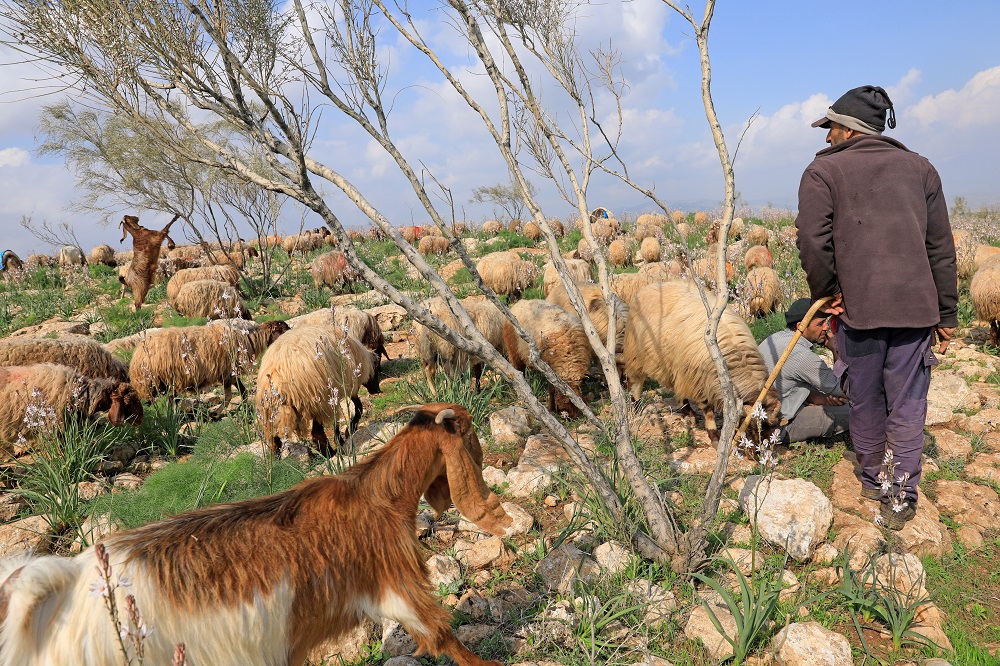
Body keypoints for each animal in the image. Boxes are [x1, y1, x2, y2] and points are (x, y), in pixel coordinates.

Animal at [129, 320, 289, 406]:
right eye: (283, 330)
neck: (247, 339)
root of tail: (137, 356)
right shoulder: (229, 371)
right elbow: (238, 393)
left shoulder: (226, 374)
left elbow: (234, 394)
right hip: (156, 381)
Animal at [256, 325, 381, 455]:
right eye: (377, 366)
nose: (377, 390)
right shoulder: (344, 387)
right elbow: (357, 408)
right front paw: (348, 432)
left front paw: (345, 434)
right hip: (317, 401)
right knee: (316, 433)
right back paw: (329, 452)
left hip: (271, 413)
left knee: (274, 441)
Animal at [623, 281, 781, 441]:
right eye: (751, 427)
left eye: (771, 426)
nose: (759, 448)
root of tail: (651, 286)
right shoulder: (699, 380)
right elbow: (708, 409)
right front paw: (714, 435)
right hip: (636, 353)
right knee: (635, 380)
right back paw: (636, 406)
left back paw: (687, 412)